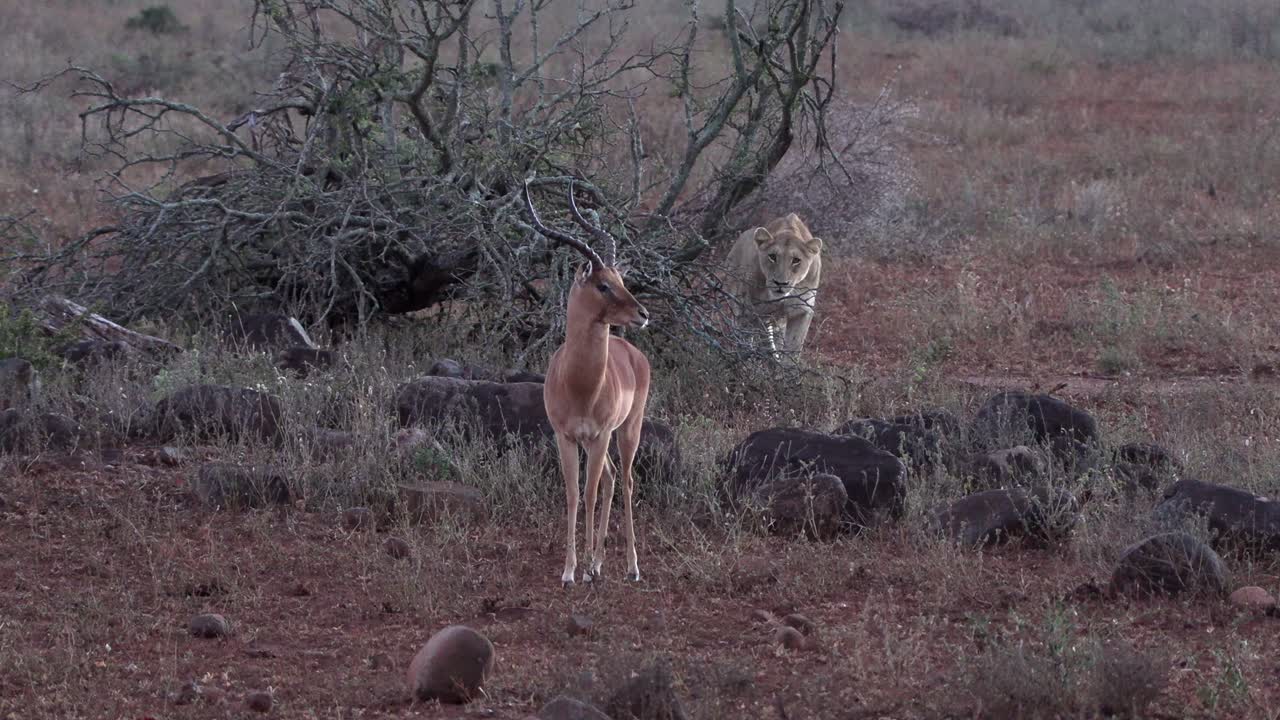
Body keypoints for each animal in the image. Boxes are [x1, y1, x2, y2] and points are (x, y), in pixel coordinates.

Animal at [724, 212, 823, 357]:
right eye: (772, 257)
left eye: (796, 260)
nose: (780, 283)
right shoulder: (752, 309)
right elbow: (751, 339)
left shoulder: (802, 311)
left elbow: (792, 349)